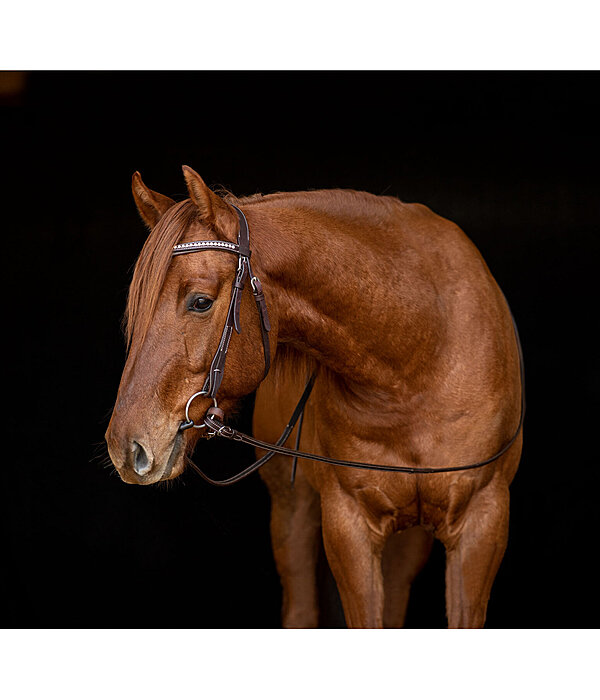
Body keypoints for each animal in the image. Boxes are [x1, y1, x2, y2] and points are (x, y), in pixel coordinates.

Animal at [105, 165, 524, 628]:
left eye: (200, 302)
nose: (127, 447)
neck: (417, 357)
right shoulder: (348, 525)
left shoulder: (482, 522)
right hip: (293, 510)